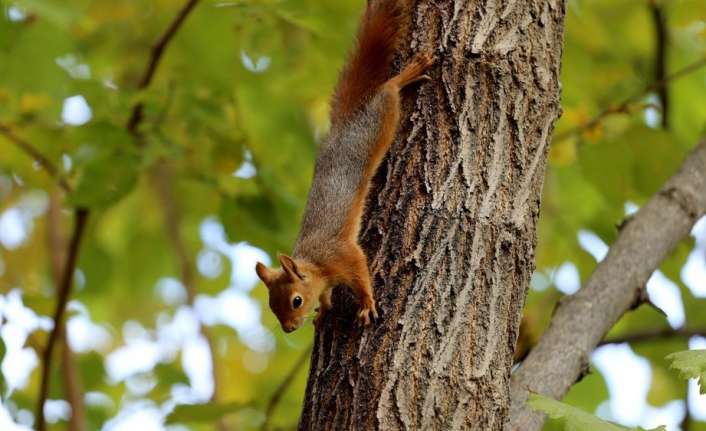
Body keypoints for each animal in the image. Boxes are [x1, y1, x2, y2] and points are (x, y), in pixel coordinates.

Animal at [253, 0, 428, 334]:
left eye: (296, 300)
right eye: (271, 306)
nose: (289, 329)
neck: (316, 263)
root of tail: (343, 124)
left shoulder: (344, 254)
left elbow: (361, 274)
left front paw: (367, 304)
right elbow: (327, 295)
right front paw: (324, 309)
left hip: (379, 121)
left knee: (388, 91)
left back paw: (408, 74)